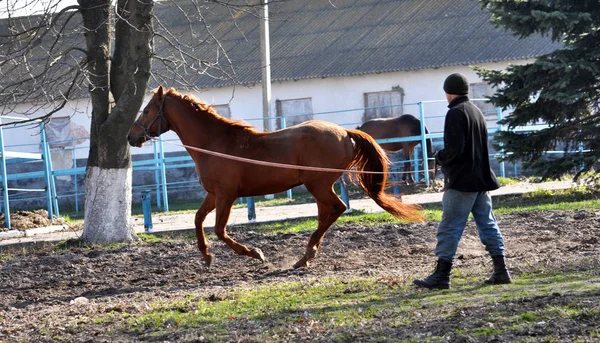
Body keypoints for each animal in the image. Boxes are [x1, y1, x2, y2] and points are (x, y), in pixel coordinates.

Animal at [129, 86, 424, 268]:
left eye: (146, 110)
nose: (131, 137)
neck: (214, 143)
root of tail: (344, 132)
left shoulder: (226, 195)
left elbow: (220, 230)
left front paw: (254, 253)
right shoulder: (213, 195)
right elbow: (198, 219)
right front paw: (207, 256)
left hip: (317, 184)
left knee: (336, 208)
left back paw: (305, 256)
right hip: (319, 187)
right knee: (327, 213)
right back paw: (307, 255)